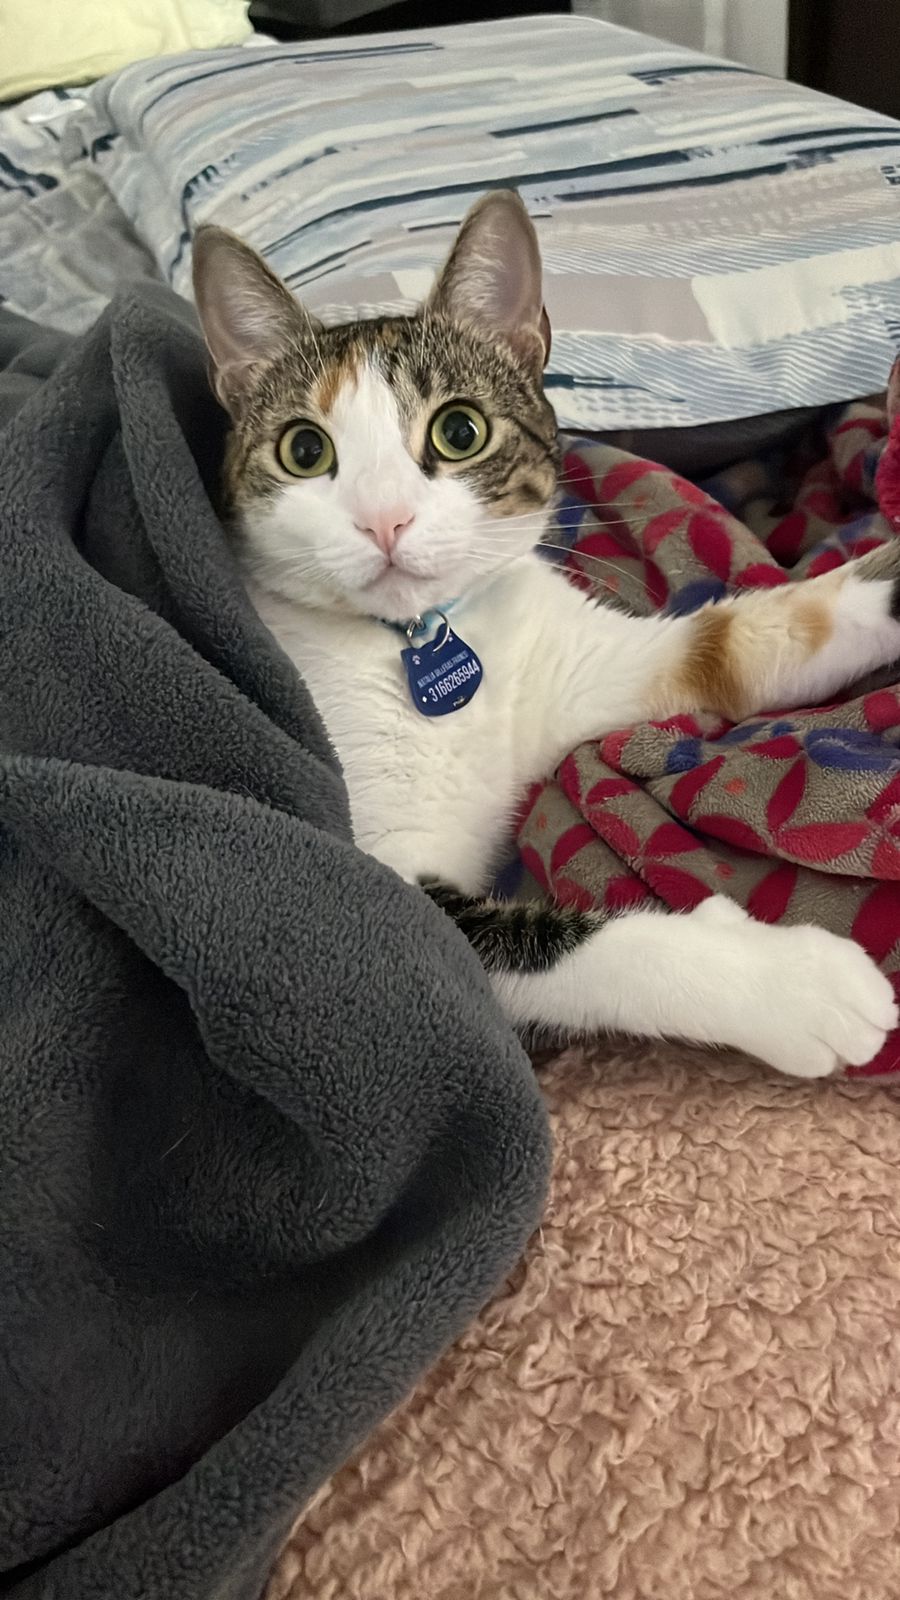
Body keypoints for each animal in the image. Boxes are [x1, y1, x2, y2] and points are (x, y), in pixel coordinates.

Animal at [192, 190, 900, 1080]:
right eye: (304, 449)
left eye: (459, 431)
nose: (385, 520)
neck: (421, 639)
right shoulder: (362, 887)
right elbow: (534, 946)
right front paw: (789, 983)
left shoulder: (571, 659)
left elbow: (735, 643)